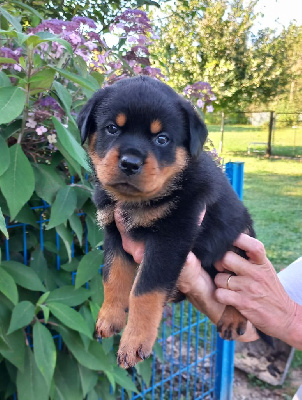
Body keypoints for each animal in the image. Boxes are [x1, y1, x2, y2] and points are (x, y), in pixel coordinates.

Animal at [78, 76, 255, 368]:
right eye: (112, 128)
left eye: (162, 139)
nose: (130, 163)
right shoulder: (114, 232)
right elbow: (113, 276)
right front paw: (109, 316)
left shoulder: (170, 237)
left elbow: (145, 291)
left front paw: (135, 341)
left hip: (242, 245)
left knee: (239, 291)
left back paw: (233, 318)